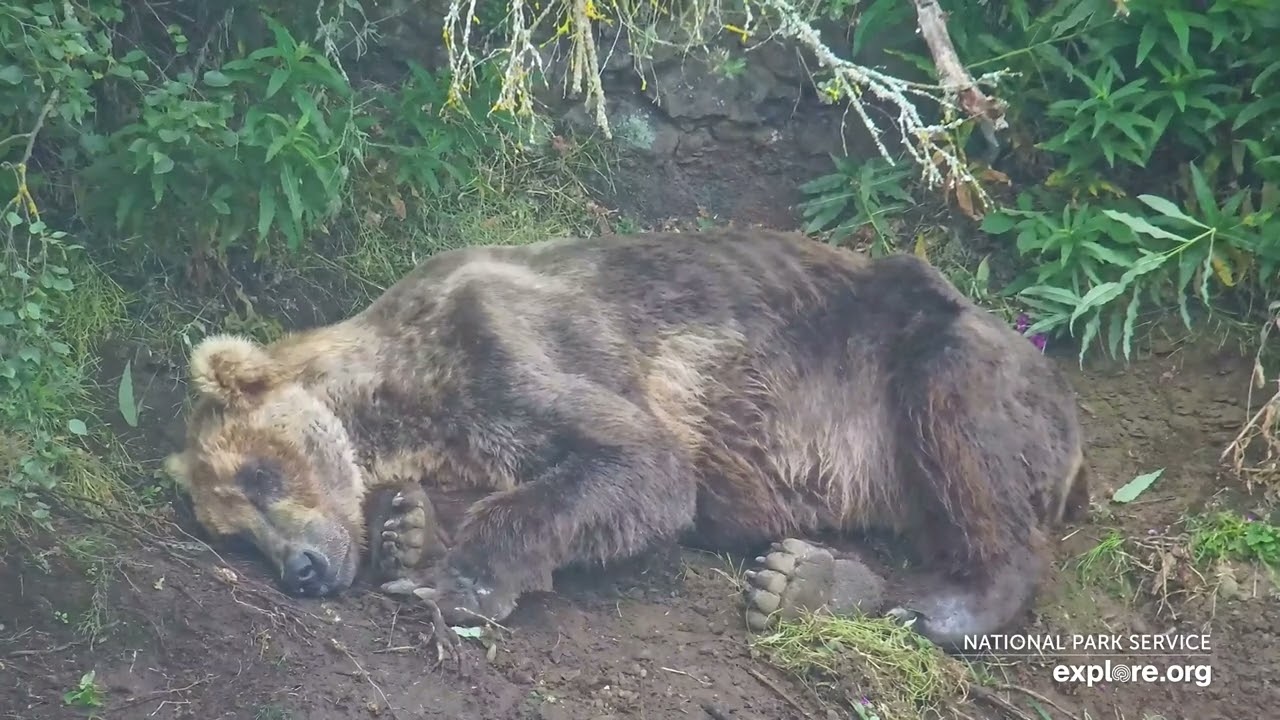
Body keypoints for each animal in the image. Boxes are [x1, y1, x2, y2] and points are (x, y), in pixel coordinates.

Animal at [163, 227, 1088, 654]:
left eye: (257, 474)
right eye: (231, 532)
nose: (301, 570)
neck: (402, 400)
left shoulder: (512, 347)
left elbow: (639, 467)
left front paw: (457, 581)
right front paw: (411, 526)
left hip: (921, 362)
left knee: (969, 445)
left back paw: (948, 604)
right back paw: (803, 582)